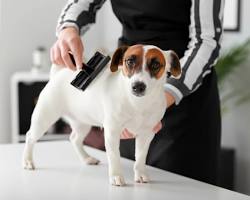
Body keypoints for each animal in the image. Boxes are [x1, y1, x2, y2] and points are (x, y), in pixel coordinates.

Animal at [22, 44, 181, 186]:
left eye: (156, 64)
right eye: (129, 61)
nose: (138, 86)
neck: (137, 103)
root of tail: (58, 74)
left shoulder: (146, 134)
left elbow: (141, 157)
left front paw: (140, 173)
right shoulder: (112, 132)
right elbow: (114, 156)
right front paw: (116, 176)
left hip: (82, 123)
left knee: (74, 139)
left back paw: (86, 158)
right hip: (44, 118)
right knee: (30, 137)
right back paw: (28, 161)